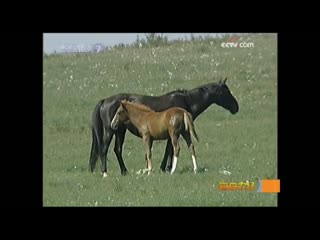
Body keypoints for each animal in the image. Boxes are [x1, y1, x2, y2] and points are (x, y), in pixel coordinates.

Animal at [89, 78, 239, 176]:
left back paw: (124, 171)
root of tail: (105, 101)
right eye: (226, 92)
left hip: (120, 131)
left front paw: (165, 168)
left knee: (117, 150)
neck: (187, 100)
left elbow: (169, 150)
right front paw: (166, 168)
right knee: (104, 149)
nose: (236, 107)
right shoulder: (172, 133)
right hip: (110, 131)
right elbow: (170, 150)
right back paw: (105, 173)